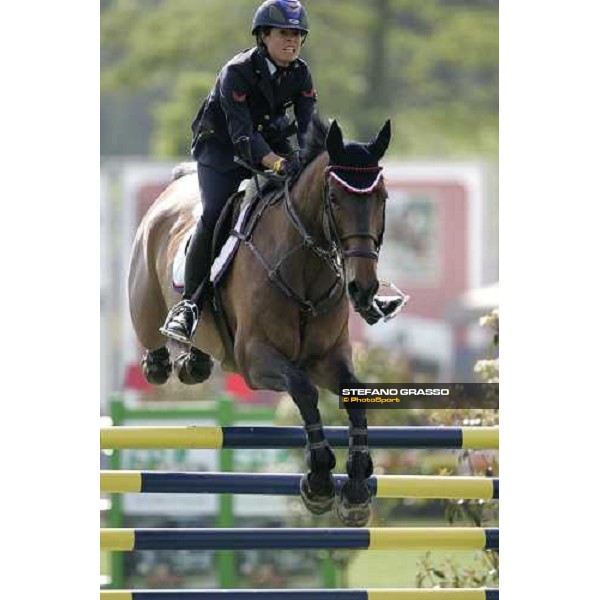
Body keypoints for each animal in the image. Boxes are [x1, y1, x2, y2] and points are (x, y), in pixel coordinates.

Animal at [128, 116, 394, 524]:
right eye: (334, 199)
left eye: (382, 199)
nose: (362, 288)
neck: (305, 268)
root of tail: (171, 190)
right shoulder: (257, 359)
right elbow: (303, 390)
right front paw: (319, 480)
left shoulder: (328, 359)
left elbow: (356, 397)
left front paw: (357, 488)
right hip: (145, 305)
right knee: (154, 347)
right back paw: (168, 351)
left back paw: (193, 362)